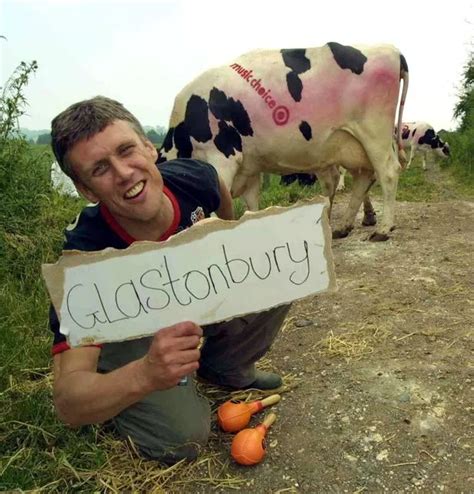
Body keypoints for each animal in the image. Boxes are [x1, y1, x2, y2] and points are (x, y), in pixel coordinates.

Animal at [158, 43, 408, 240]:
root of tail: (392, 50)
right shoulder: (249, 169)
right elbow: (252, 207)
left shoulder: (222, 158)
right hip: (353, 145)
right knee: (364, 178)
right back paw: (343, 226)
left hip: (374, 134)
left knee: (388, 172)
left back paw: (383, 229)